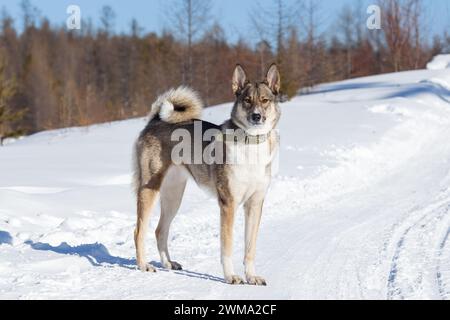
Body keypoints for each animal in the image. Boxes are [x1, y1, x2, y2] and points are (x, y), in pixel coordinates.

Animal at [133, 63, 282, 284]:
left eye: (265, 100)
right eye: (247, 100)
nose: (256, 117)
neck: (251, 144)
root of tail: (155, 120)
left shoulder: (255, 204)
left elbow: (250, 248)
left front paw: (251, 276)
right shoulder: (228, 204)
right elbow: (227, 247)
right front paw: (231, 276)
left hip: (173, 196)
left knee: (160, 230)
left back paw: (168, 263)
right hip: (149, 189)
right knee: (139, 231)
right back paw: (144, 265)